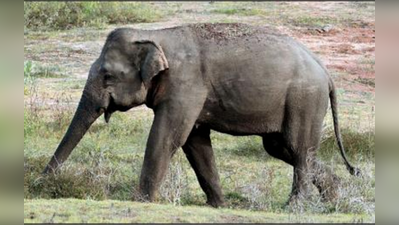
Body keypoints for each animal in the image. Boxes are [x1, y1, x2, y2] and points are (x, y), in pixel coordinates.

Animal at [43, 22, 360, 207]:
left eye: (108, 75)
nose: (41, 184)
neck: (155, 35)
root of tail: (326, 72)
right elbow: (195, 143)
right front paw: (217, 206)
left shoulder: (186, 84)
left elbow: (167, 136)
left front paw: (141, 201)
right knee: (283, 148)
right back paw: (334, 198)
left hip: (304, 99)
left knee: (298, 148)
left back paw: (294, 207)